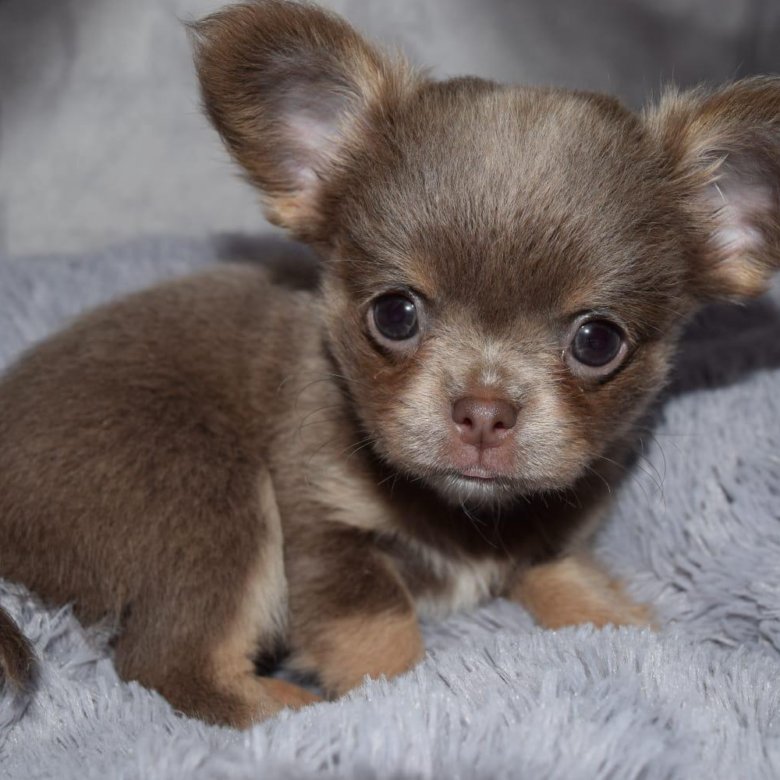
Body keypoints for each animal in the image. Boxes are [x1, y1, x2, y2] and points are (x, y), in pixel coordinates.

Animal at [0, 0, 778, 728]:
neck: (463, 513)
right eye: (395, 314)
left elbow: (570, 580)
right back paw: (293, 712)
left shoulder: (549, 540)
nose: (484, 410)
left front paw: (628, 627)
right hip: (206, 492)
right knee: (171, 664)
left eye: (597, 341)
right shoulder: (322, 522)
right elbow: (381, 634)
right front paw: (391, 706)